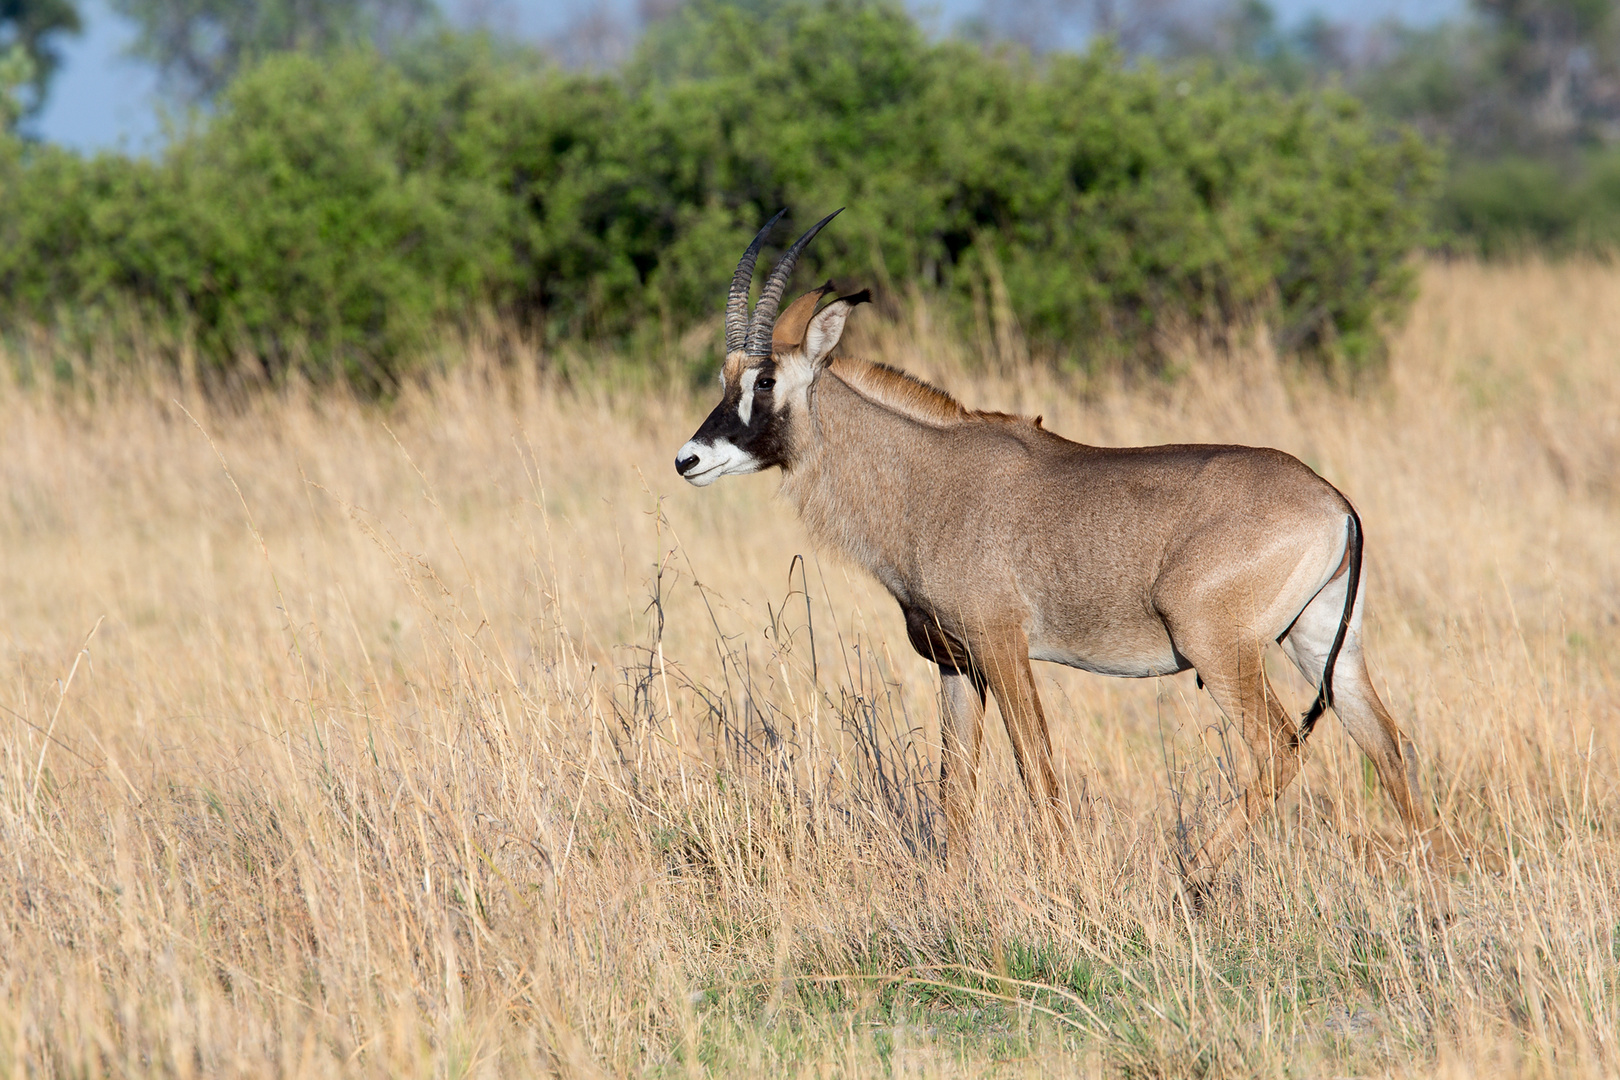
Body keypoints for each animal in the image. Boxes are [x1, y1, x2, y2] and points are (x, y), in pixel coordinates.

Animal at [677, 213, 1425, 893]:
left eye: (766, 382)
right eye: (725, 377)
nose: (689, 459)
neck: (926, 478)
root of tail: (1335, 503)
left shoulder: (1003, 647)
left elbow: (1035, 767)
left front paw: (1067, 883)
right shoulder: (957, 665)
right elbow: (956, 786)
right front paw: (952, 894)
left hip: (1219, 648)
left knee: (1278, 748)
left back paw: (1188, 874)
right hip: (1322, 642)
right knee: (1385, 743)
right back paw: (1430, 882)